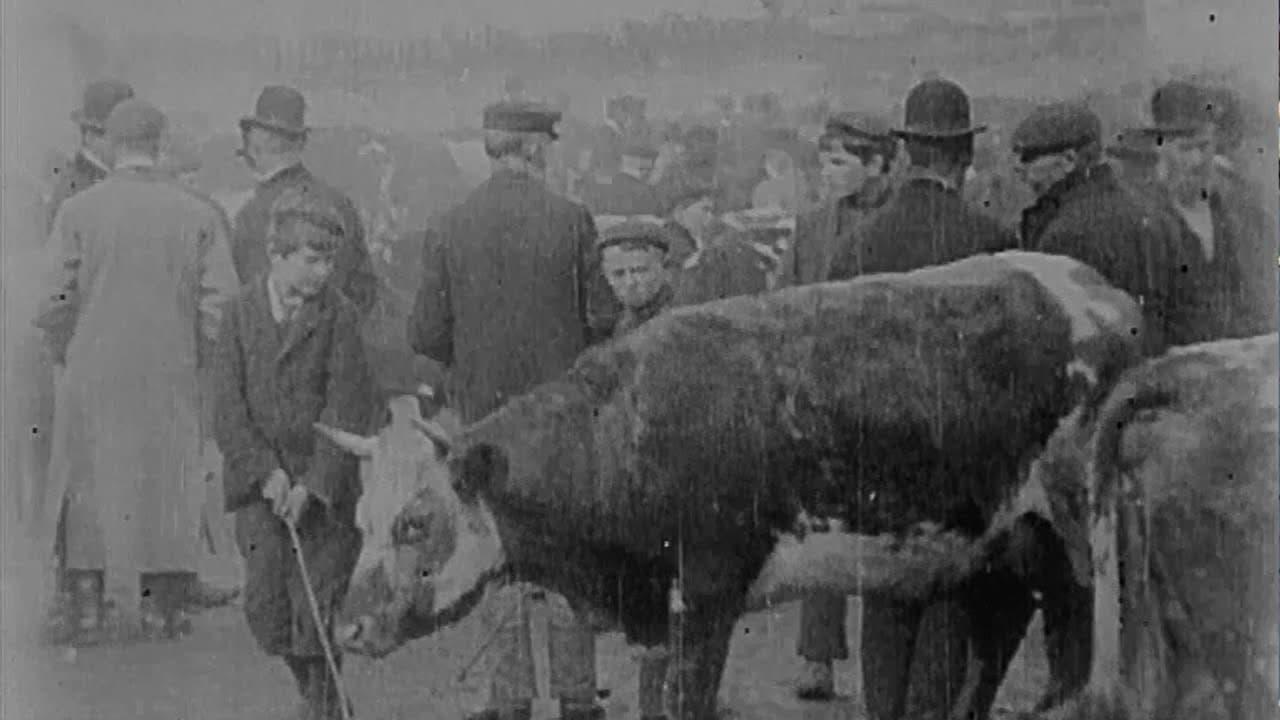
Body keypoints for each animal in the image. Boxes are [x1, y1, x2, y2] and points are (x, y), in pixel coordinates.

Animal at [317, 249, 1141, 712]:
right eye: (358, 522)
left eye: (415, 522)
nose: (348, 627)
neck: (624, 433)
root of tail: (1097, 290)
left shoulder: (707, 600)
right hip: (999, 545)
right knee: (1003, 639)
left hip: (1083, 538)